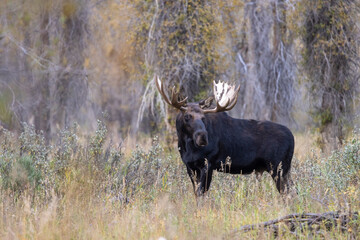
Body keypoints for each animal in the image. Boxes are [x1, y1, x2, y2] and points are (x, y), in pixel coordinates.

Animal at [155, 76, 296, 196]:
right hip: (284, 169)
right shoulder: (190, 166)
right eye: (187, 116)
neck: (187, 147)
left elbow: (201, 193)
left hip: (278, 167)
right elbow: (196, 193)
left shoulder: (208, 164)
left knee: (287, 192)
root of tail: (292, 137)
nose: (203, 137)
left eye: (203, 117)